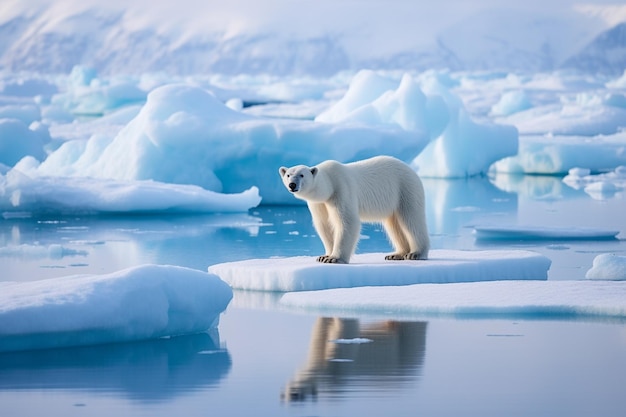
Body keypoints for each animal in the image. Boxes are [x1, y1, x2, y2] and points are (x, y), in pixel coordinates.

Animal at [280, 156, 428, 264]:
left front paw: (334, 258)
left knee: (411, 220)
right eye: (288, 175)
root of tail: (412, 170)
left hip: (405, 189)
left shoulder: (341, 190)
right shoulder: (319, 203)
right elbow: (324, 225)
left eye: (302, 175)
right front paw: (324, 256)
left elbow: (347, 221)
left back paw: (415, 253)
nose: (292, 185)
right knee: (394, 225)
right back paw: (397, 254)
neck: (329, 183)